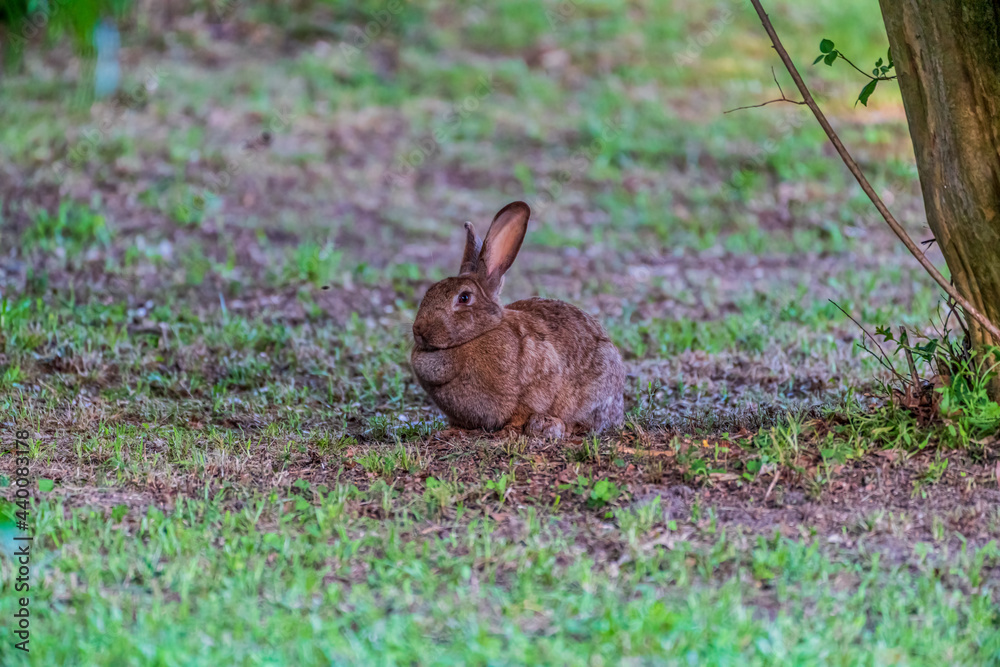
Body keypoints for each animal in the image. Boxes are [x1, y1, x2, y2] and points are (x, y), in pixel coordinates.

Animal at [410, 201, 625, 438]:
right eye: (429, 291)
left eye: (464, 298)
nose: (419, 330)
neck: (478, 334)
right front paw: (451, 431)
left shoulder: (535, 383)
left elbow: (523, 410)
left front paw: (508, 431)